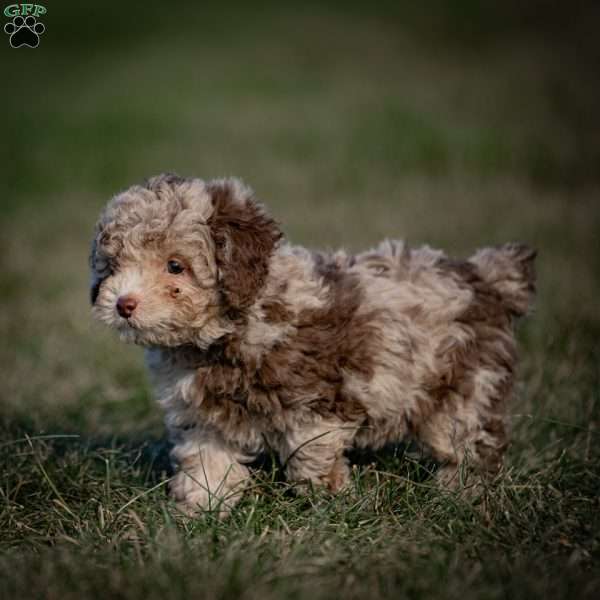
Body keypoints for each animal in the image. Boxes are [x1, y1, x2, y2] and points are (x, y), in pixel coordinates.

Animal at [91, 173, 536, 516]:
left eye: (175, 266)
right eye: (114, 266)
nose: (123, 304)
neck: (231, 331)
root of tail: (486, 277)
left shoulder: (315, 402)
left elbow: (311, 455)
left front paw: (331, 501)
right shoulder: (203, 416)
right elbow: (206, 460)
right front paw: (200, 509)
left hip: (465, 385)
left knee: (470, 444)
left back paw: (459, 494)